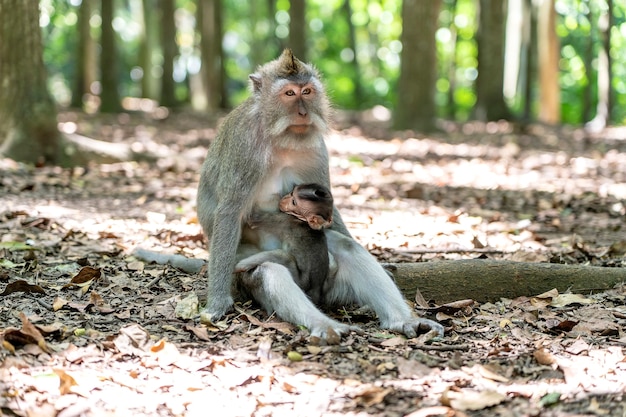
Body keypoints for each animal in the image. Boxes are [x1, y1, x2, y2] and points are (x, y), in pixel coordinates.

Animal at [197, 48, 442, 338]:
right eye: (289, 93)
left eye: (307, 91)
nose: (303, 113)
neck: (279, 138)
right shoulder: (244, 148)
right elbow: (230, 212)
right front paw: (218, 302)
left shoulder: (315, 149)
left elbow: (329, 204)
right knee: (268, 270)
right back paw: (327, 326)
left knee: (345, 247)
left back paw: (403, 320)